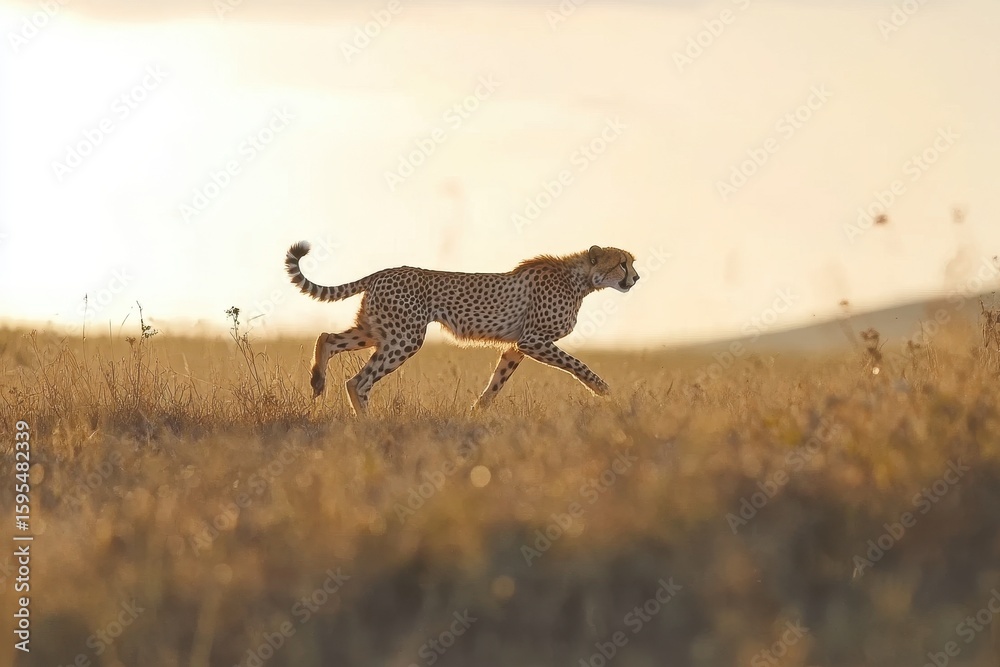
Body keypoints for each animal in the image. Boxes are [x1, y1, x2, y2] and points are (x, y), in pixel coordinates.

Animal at [285, 242, 639, 415]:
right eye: (622, 263)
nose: (636, 278)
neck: (581, 279)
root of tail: (383, 271)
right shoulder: (534, 340)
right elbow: (578, 364)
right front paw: (603, 390)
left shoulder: (516, 346)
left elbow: (496, 383)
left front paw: (476, 412)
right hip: (404, 338)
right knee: (358, 381)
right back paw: (367, 425)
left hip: (377, 331)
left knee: (327, 338)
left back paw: (318, 382)